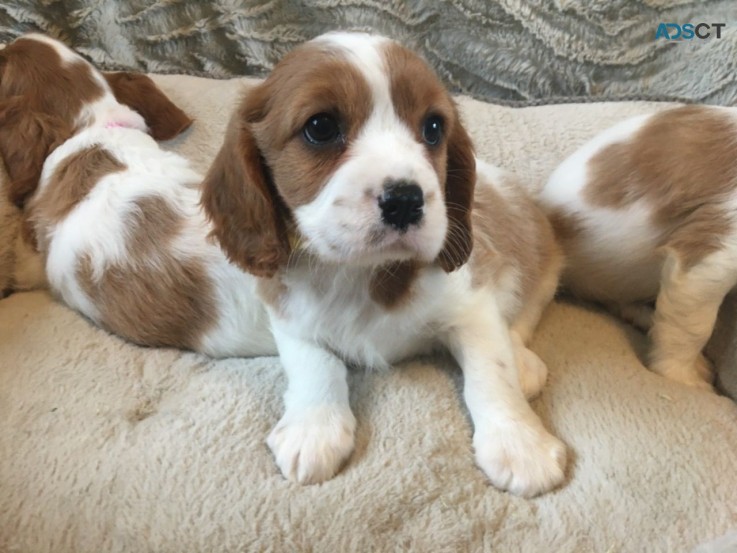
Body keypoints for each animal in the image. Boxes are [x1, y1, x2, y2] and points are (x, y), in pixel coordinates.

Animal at [5, 31, 568, 496]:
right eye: (321, 127)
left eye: (433, 128)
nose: (407, 199)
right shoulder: (288, 312)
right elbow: (314, 363)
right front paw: (314, 430)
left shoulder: (468, 301)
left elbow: (489, 370)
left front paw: (520, 446)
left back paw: (526, 362)